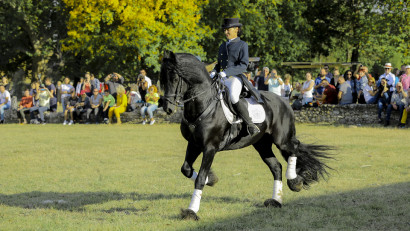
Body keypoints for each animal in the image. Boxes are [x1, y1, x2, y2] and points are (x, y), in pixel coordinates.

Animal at [159, 51, 332, 220]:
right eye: (162, 79)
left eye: (174, 78)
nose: (167, 108)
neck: (205, 104)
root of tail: (284, 100)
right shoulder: (194, 144)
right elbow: (186, 169)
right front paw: (212, 179)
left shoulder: (210, 147)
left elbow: (200, 177)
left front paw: (191, 211)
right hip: (262, 144)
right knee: (276, 167)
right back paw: (276, 200)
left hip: (282, 139)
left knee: (293, 149)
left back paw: (294, 181)